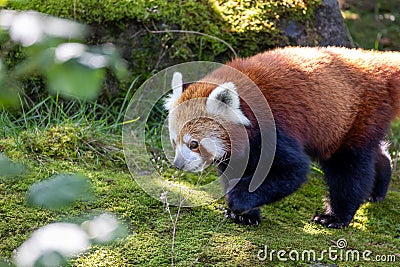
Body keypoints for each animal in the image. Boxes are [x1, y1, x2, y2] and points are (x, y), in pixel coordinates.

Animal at [163, 46, 400, 228]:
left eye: (193, 144)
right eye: (174, 141)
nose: (178, 164)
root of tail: (373, 63)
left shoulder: (273, 128)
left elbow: (292, 170)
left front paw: (238, 200)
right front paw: (245, 214)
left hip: (357, 115)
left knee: (349, 169)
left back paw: (335, 216)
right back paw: (379, 185)